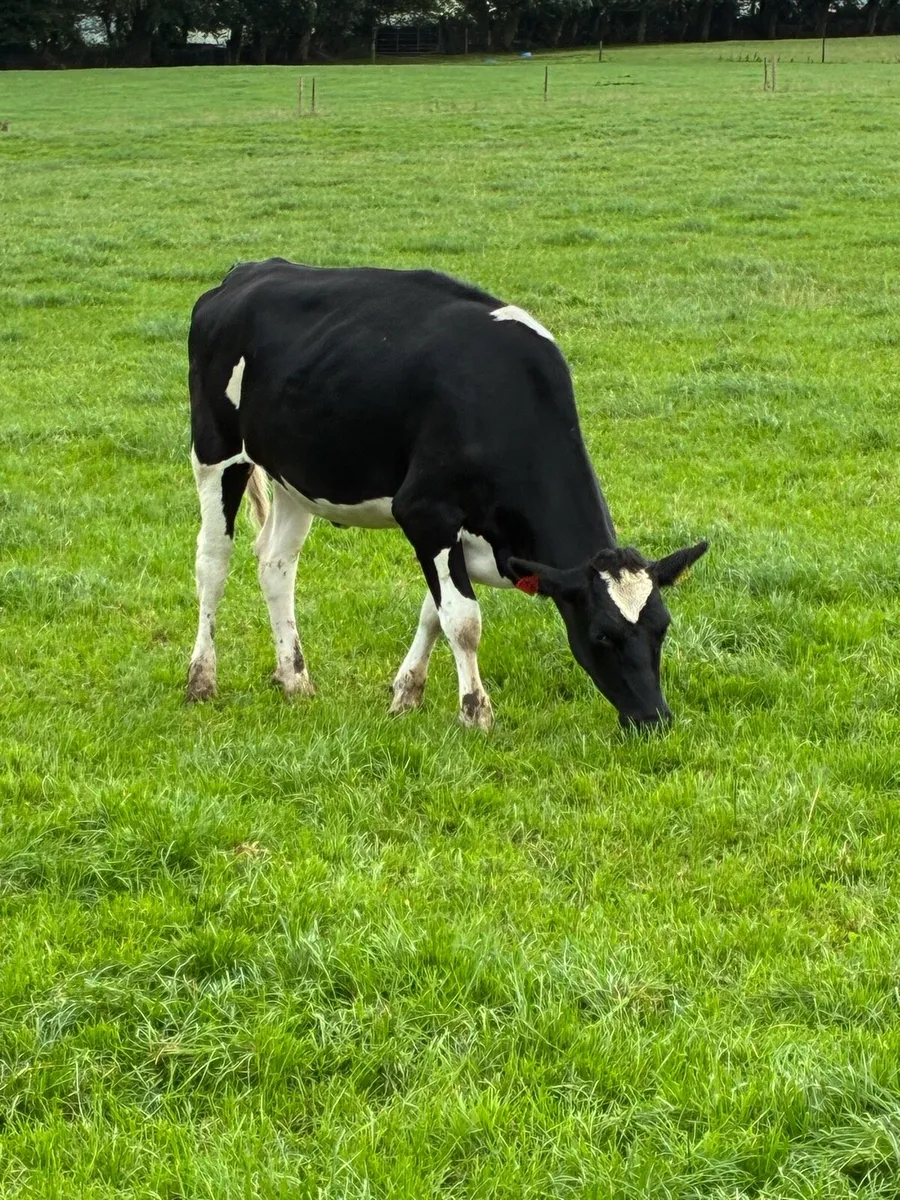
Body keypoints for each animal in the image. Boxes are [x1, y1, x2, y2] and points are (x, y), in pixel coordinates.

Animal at [186, 259, 707, 731]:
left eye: (662, 627)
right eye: (601, 636)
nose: (655, 718)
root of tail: (247, 271)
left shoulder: (463, 534)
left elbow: (433, 613)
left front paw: (407, 693)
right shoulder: (423, 512)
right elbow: (463, 619)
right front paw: (475, 712)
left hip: (295, 474)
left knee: (276, 563)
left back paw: (294, 679)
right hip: (217, 451)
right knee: (213, 561)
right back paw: (201, 680)